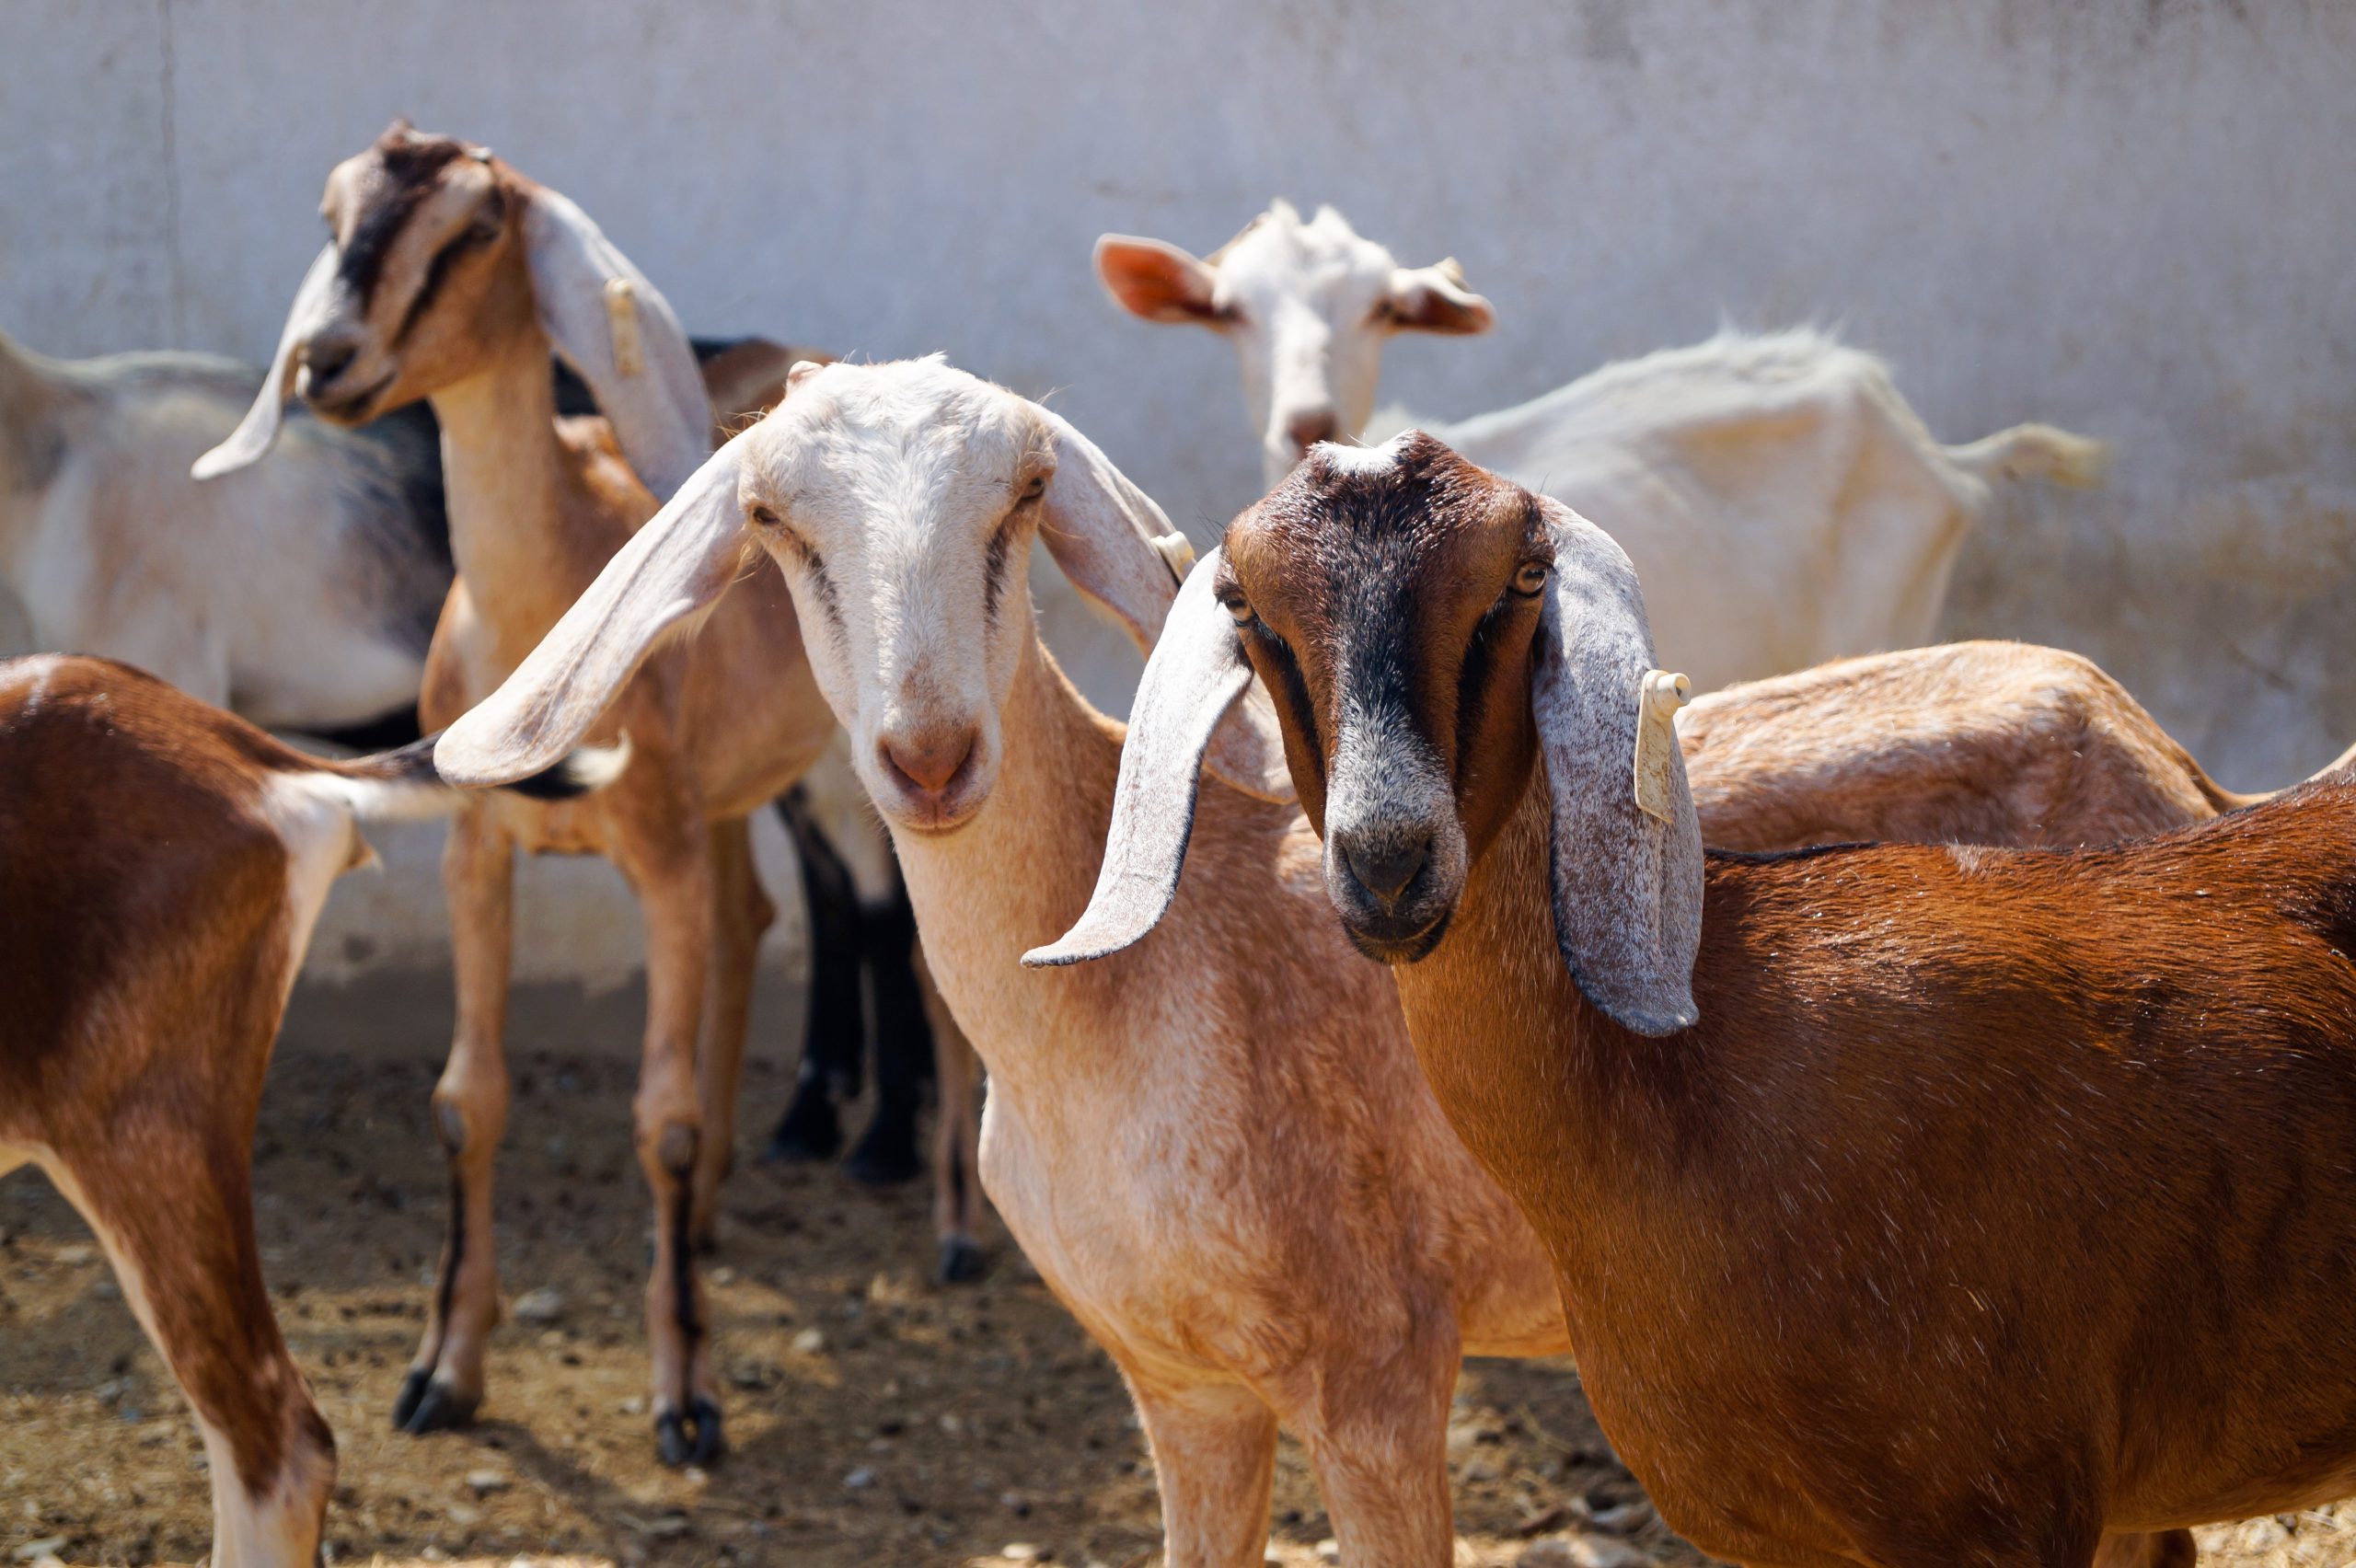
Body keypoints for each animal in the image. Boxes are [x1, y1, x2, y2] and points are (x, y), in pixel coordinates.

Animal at [192, 125, 843, 1469]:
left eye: (477, 228)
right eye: (333, 213)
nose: (330, 360)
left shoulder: (656, 862)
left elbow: (662, 1120)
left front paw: (686, 1399)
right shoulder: (476, 855)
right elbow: (465, 1101)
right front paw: (443, 1372)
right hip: (721, 810)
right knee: (750, 923)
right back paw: (707, 1225)